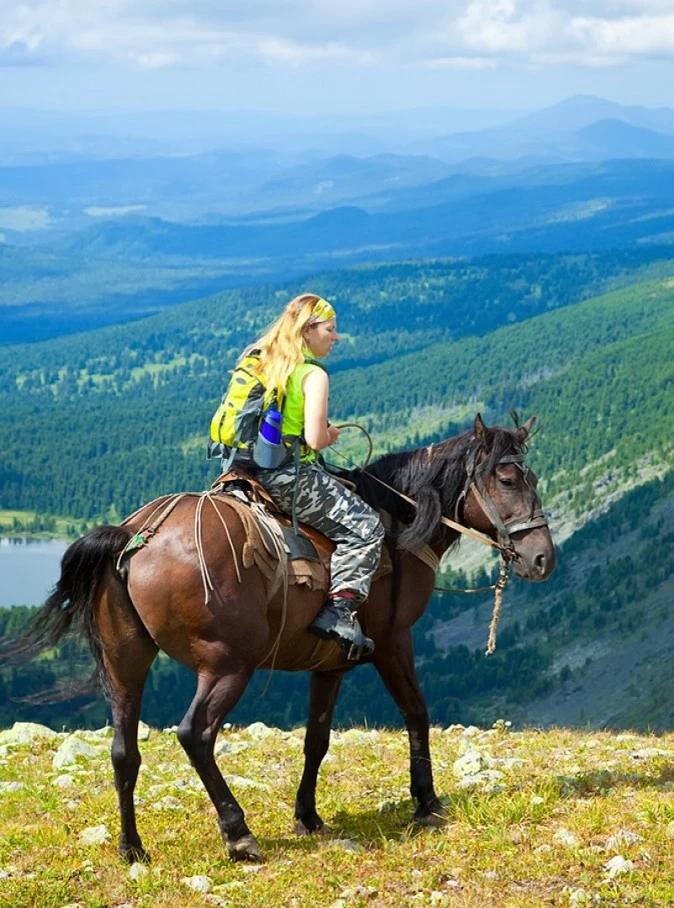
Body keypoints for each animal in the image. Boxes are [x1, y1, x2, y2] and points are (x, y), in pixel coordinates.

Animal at [14, 414, 552, 860]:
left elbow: (316, 739)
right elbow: (416, 714)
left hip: (125, 664)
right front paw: (426, 801)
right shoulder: (395, 642)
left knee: (124, 751)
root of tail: (134, 537)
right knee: (195, 734)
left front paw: (307, 816)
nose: (543, 557)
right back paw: (238, 833)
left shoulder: (329, 664)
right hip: (228, 665)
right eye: (507, 479)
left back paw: (132, 848)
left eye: (536, 479)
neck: (398, 527)